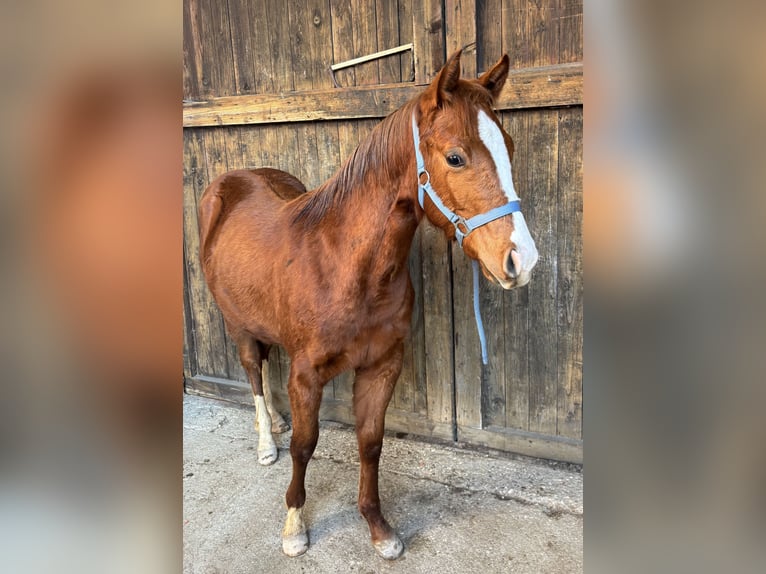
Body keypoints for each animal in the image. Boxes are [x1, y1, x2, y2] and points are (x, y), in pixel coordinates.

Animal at [198, 49, 539, 560]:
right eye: (455, 157)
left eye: (510, 148)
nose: (523, 259)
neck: (344, 267)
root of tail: (231, 181)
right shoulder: (306, 375)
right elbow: (305, 445)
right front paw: (294, 525)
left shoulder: (381, 365)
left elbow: (371, 443)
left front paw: (379, 529)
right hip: (235, 324)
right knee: (253, 371)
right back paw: (265, 441)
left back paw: (274, 423)